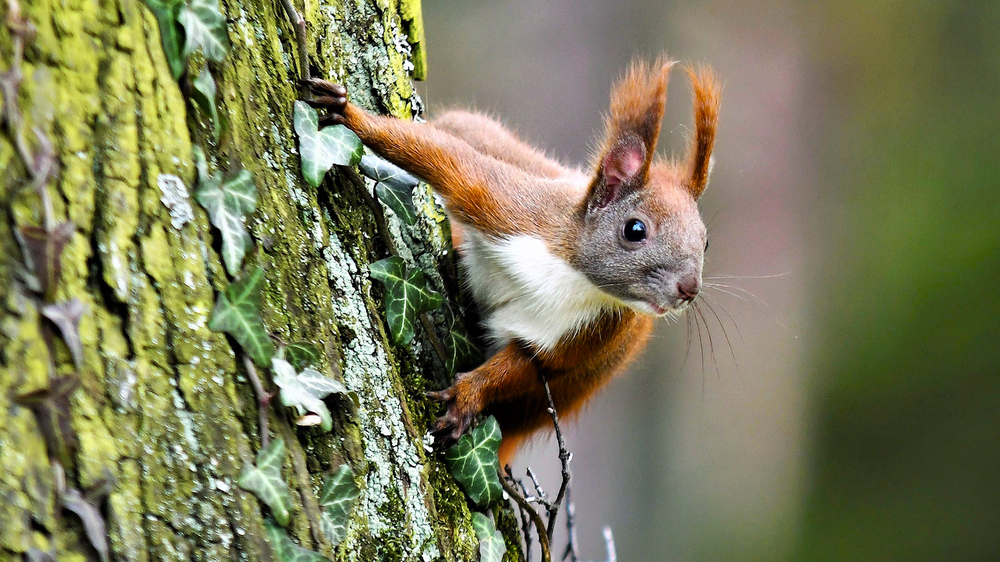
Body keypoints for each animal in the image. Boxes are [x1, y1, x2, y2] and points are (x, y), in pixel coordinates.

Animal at [304, 55, 721, 466]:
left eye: (705, 242)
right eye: (635, 230)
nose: (689, 289)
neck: (570, 274)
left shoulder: (586, 334)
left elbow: (523, 366)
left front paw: (468, 397)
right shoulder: (508, 207)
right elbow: (444, 159)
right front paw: (350, 114)